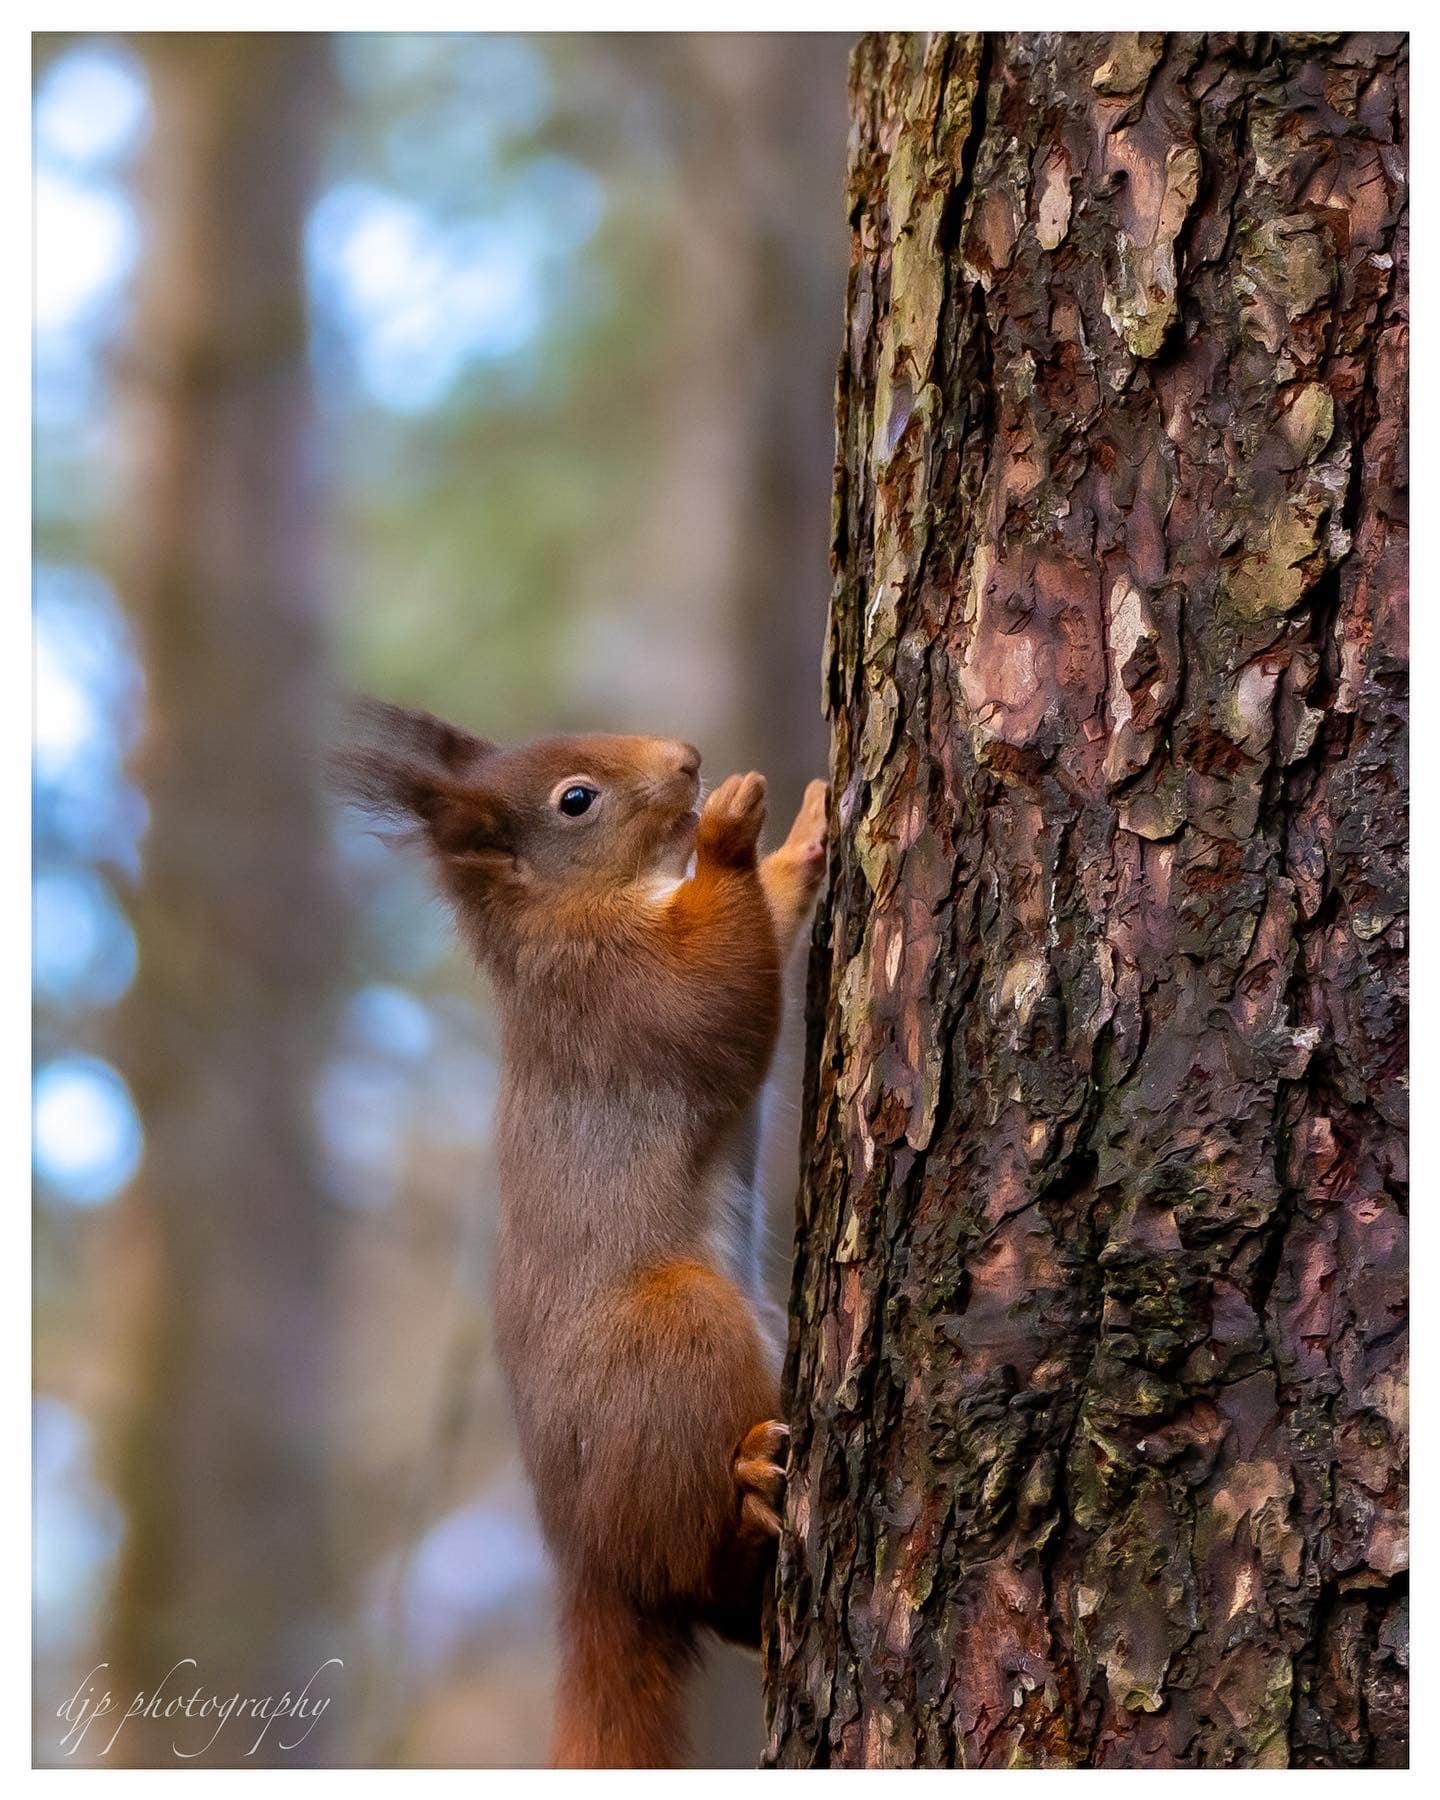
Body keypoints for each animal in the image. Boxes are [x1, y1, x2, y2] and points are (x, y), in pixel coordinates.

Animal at [336, 698, 828, 1756]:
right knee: (696, 1576)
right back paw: (750, 1496)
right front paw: (729, 836)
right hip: (678, 1336)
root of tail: (588, 1563)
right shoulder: (620, 997)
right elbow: (721, 994)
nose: (687, 760)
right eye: (576, 801)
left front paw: (802, 838)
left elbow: (763, 931)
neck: (574, 915)